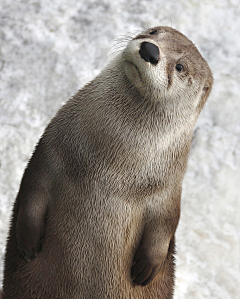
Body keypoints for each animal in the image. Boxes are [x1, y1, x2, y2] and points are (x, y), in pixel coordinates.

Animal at [1, 27, 212, 298]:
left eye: (180, 66)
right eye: (154, 31)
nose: (150, 49)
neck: (110, 171)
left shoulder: (168, 190)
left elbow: (166, 223)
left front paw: (146, 268)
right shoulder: (50, 150)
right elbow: (32, 186)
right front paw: (28, 241)